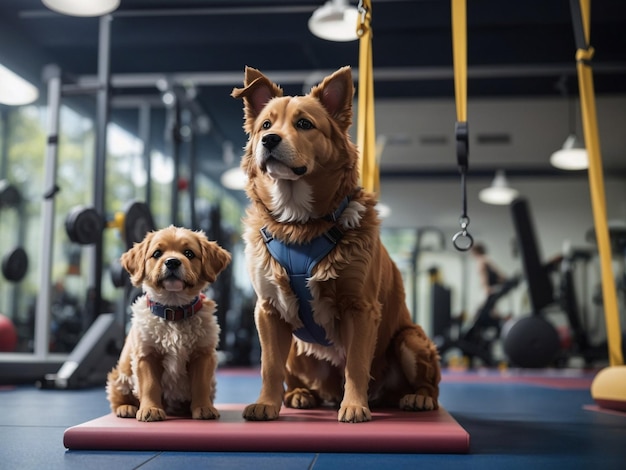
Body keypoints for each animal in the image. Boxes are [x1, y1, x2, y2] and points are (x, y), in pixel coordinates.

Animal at [105, 227, 232, 422]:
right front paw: (150, 409)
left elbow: (200, 385)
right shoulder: (145, 355)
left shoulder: (203, 354)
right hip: (120, 376)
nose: (172, 262)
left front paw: (203, 407)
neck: (173, 311)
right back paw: (126, 408)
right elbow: (150, 385)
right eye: (157, 253)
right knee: (117, 398)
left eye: (189, 253)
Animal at [232, 65, 442, 422]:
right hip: (296, 349)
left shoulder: (360, 308)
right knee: (295, 376)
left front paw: (355, 406)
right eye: (266, 125)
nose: (269, 140)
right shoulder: (268, 310)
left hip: (411, 340)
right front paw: (266, 403)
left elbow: (356, 364)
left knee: (429, 385)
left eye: (304, 124)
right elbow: (269, 366)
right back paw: (300, 395)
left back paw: (417, 397)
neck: (298, 225)